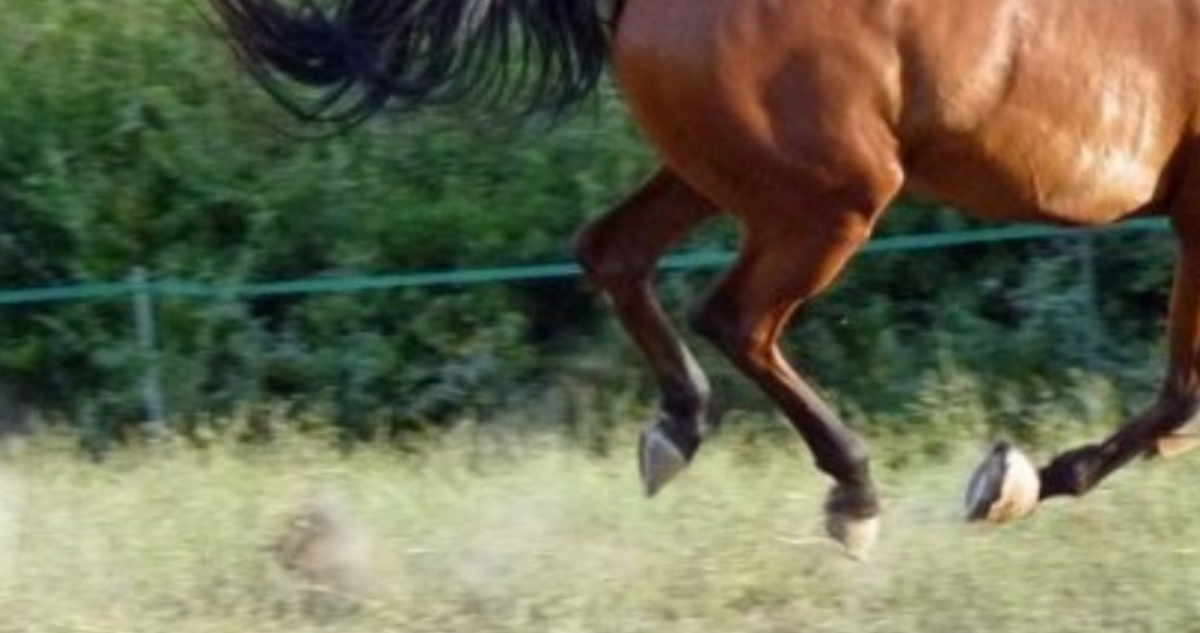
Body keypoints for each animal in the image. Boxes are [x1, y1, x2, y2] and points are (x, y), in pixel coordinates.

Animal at [204, 0, 1200, 558]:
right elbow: (1181, 397)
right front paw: (1014, 480)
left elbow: (1178, 397)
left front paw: (1024, 479)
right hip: (830, 199)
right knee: (735, 317)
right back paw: (853, 493)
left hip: (720, 174)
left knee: (613, 251)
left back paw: (677, 429)